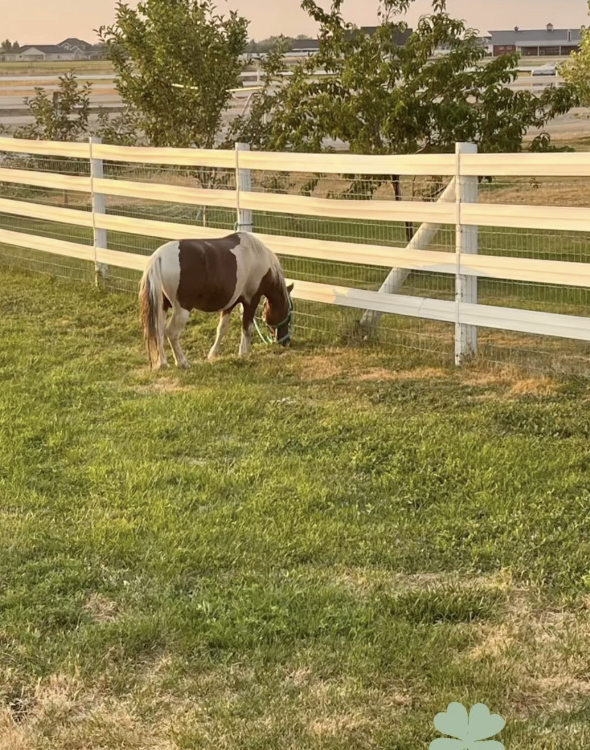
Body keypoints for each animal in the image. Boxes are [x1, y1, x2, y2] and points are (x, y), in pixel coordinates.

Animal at [139, 232, 294, 370]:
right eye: (288, 314)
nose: (286, 342)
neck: (256, 255)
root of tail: (159, 257)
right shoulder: (251, 301)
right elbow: (247, 327)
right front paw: (243, 353)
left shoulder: (230, 303)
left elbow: (222, 329)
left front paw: (213, 354)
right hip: (181, 309)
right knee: (171, 333)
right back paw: (183, 363)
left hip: (162, 307)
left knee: (158, 332)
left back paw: (163, 364)